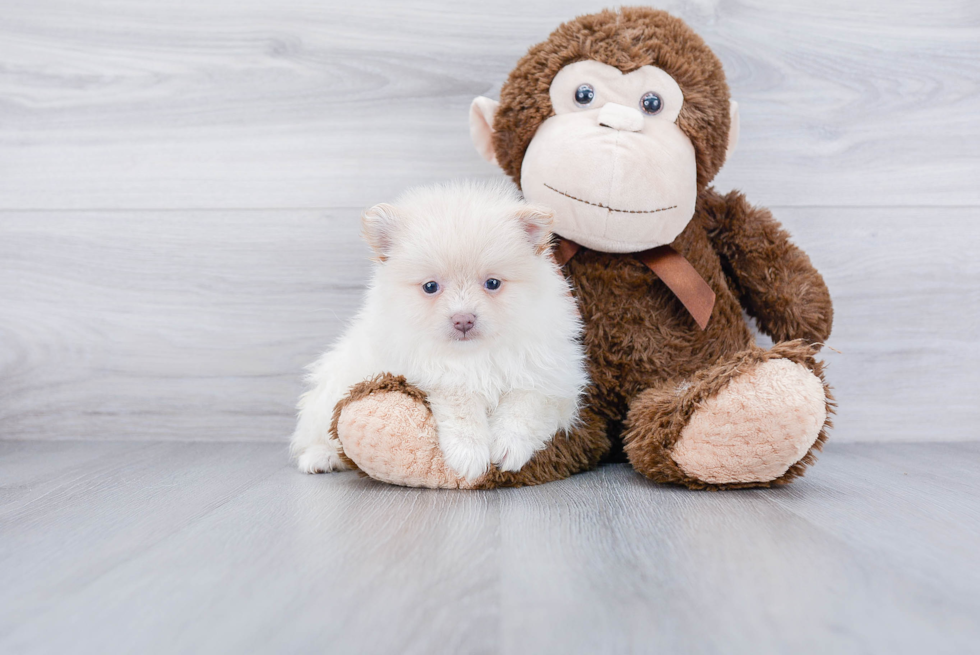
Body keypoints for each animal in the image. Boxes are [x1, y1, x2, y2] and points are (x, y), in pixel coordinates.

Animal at [288, 179, 584, 482]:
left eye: (492, 283)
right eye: (430, 287)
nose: (463, 319)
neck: (476, 355)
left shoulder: (550, 378)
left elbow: (526, 403)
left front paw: (509, 445)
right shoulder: (434, 375)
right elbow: (460, 403)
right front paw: (469, 453)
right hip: (330, 391)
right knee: (318, 433)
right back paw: (320, 457)